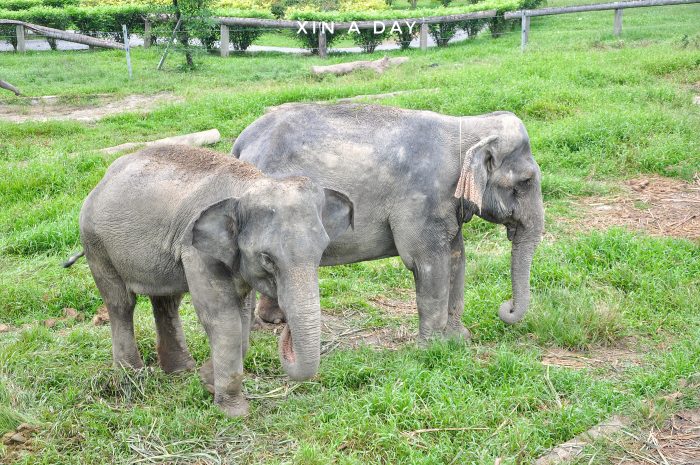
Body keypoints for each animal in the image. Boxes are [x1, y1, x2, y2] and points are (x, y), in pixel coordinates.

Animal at [68, 145, 352, 416]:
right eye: (267, 259)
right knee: (121, 303)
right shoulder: (195, 249)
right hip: (96, 243)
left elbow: (241, 317)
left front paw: (206, 381)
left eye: (322, 252)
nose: (283, 325)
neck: (248, 183)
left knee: (166, 302)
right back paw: (132, 374)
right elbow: (222, 318)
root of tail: (104, 177)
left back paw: (180, 370)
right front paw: (233, 410)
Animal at [235, 103, 548, 338]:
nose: (505, 308)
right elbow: (427, 262)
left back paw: (275, 321)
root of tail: (242, 141)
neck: (467, 127)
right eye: (526, 181)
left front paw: (459, 340)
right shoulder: (422, 198)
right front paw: (432, 349)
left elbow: (457, 257)